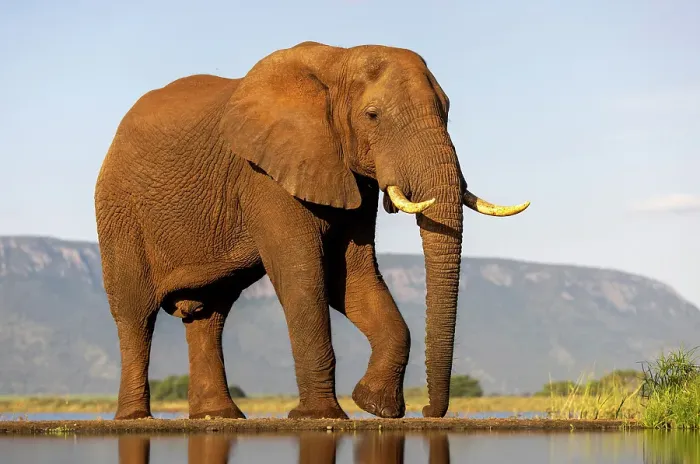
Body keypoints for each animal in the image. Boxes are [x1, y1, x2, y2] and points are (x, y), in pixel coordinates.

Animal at [94, 40, 529, 421]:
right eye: (373, 115)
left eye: (448, 110)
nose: (427, 412)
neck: (338, 61)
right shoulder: (264, 173)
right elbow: (303, 274)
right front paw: (321, 415)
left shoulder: (348, 173)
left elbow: (350, 275)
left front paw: (374, 407)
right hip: (119, 211)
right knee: (135, 314)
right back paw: (135, 418)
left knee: (210, 314)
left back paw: (219, 416)